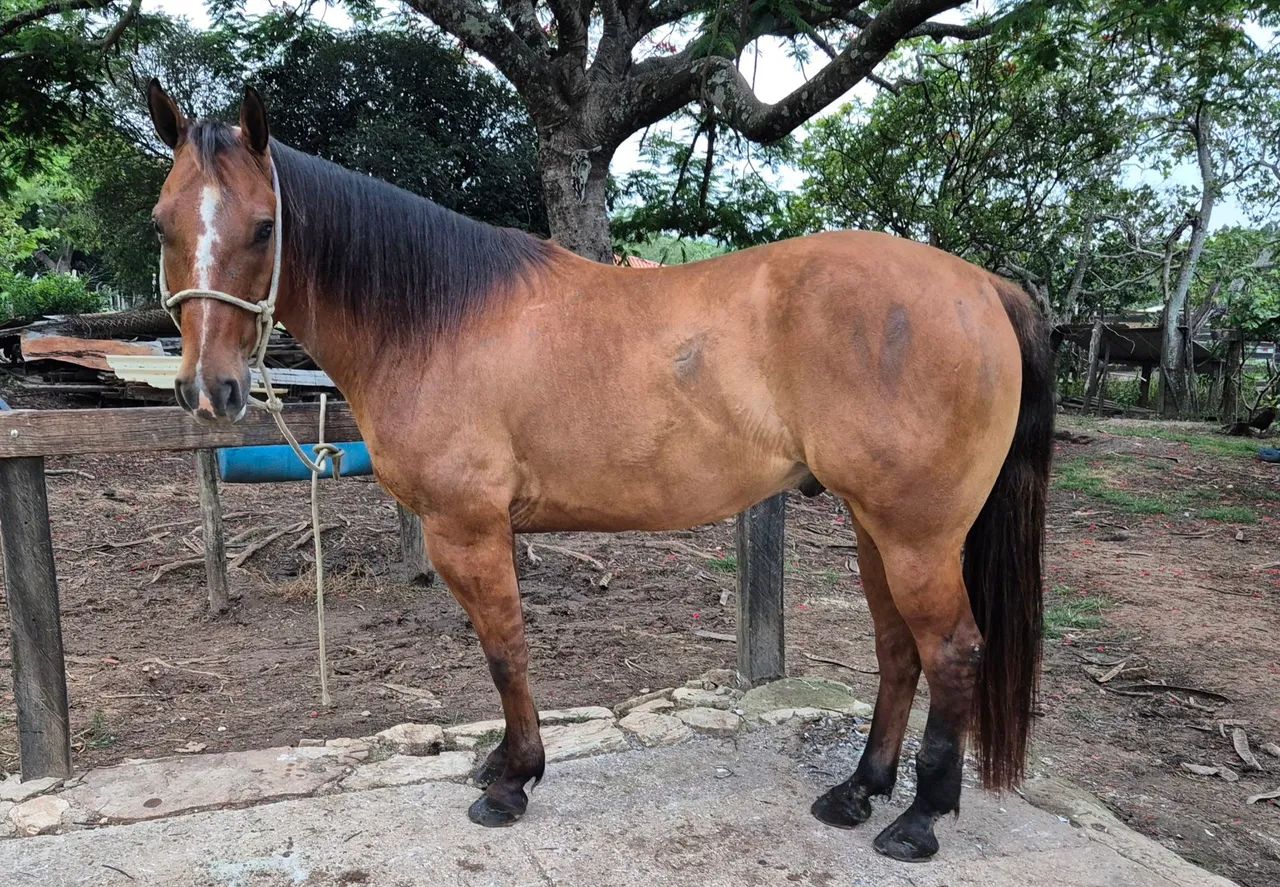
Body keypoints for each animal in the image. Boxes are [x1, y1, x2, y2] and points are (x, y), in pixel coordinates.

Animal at [146, 80, 1053, 862]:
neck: (437, 318)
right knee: (900, 650)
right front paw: (505, 765)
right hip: (876, 527)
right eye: (161, 223)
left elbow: (505, 649)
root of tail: (982, 286)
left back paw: (919, 818)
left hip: (917, 535)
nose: (209, 390)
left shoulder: (468, 529)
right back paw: (857, 790)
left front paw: (511, 781)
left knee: (953, 651)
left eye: (266, 226)